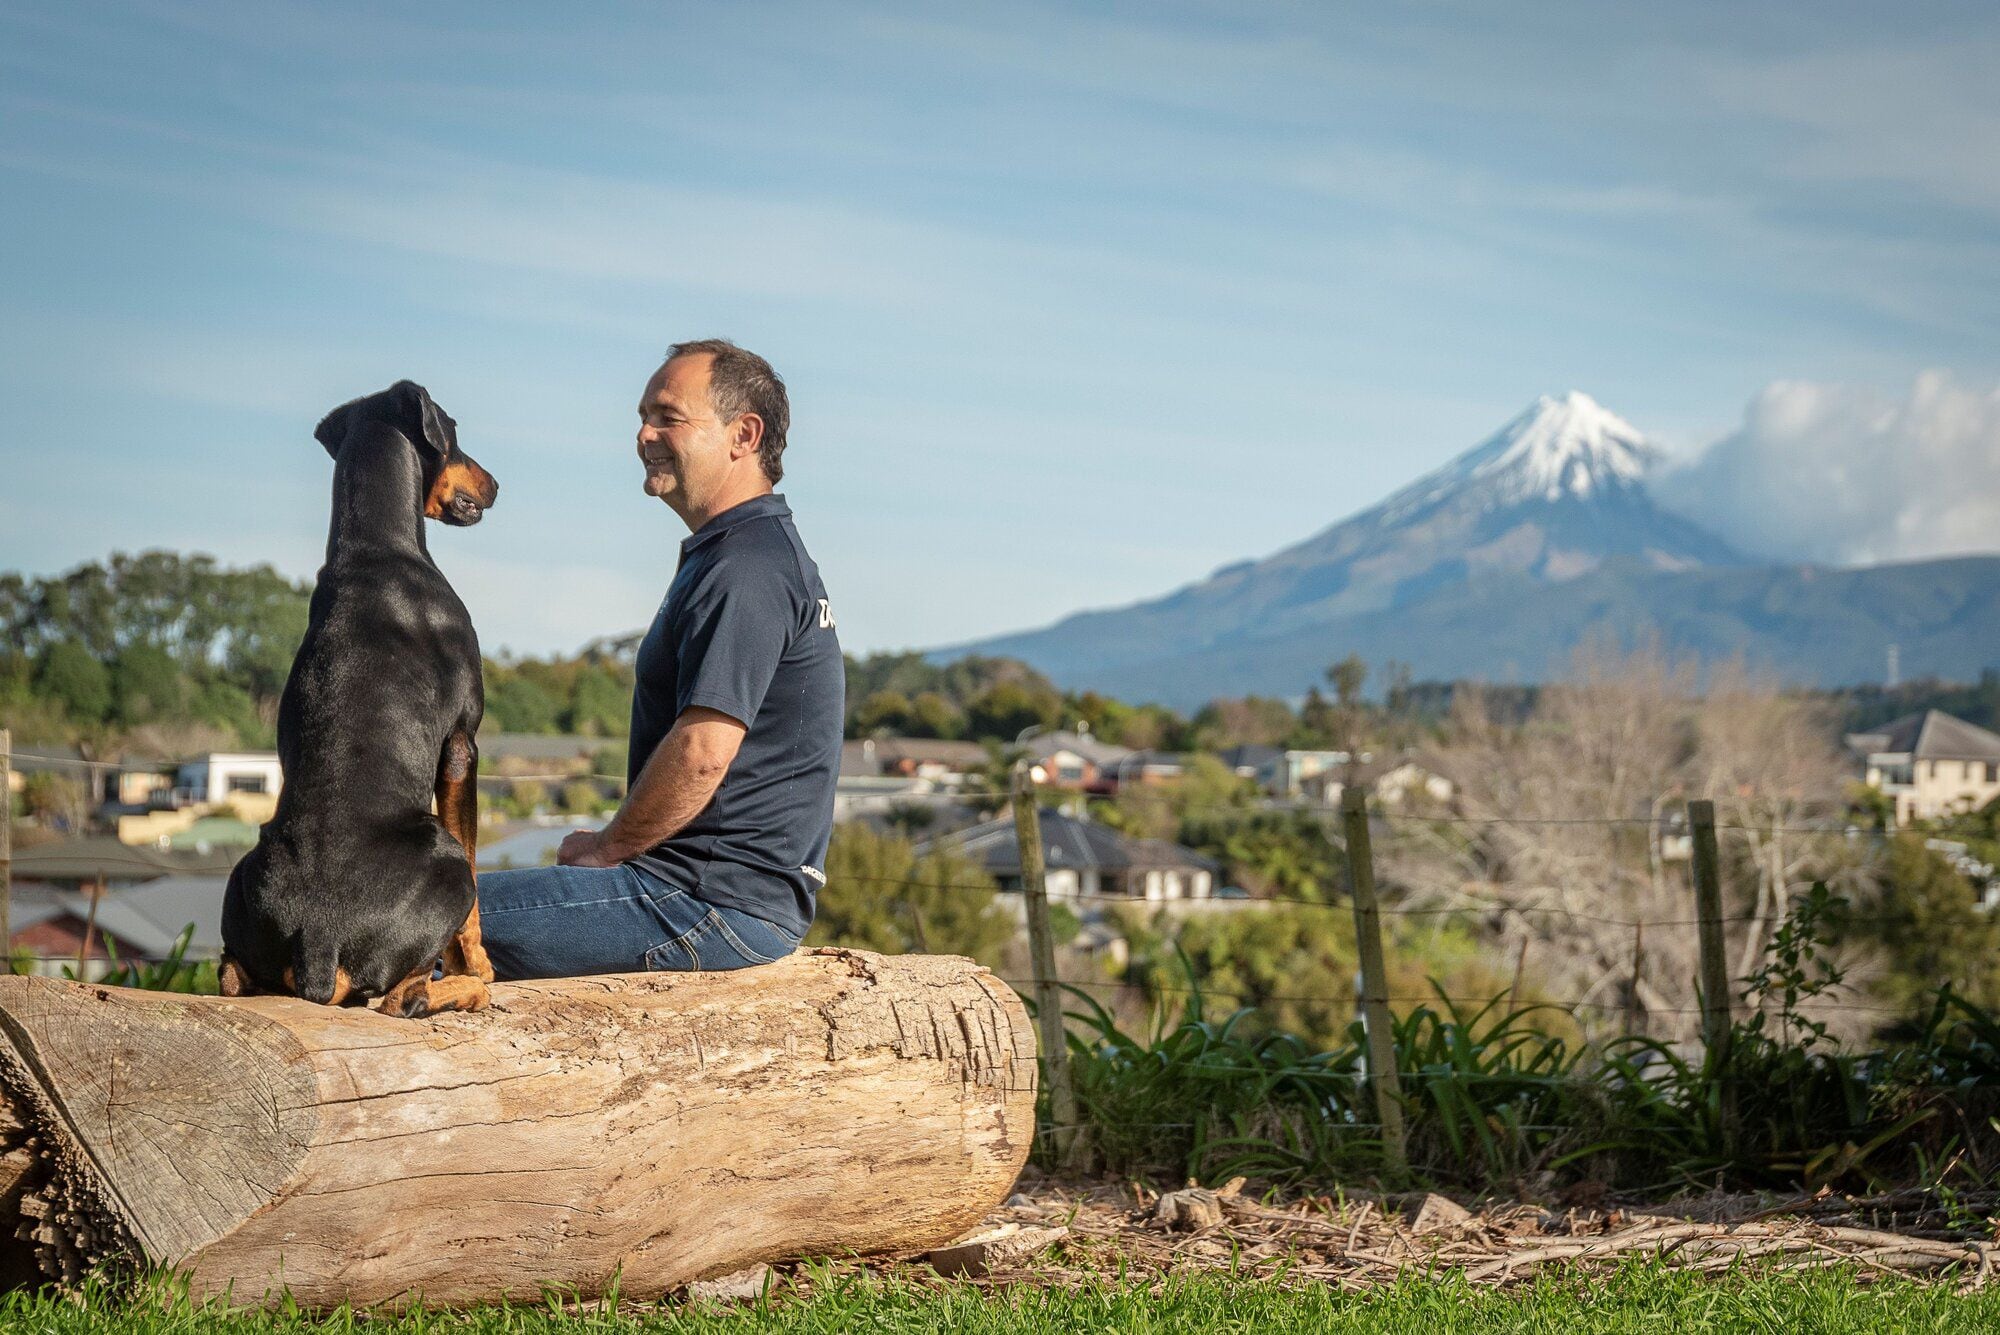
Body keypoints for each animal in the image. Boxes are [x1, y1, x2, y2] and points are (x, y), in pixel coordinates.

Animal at [216, 379, 500, 1015]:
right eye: (455, 431)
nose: (495, 484)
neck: (377, 547)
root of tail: (317, 939)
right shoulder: (462, 744)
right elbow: (475, 884)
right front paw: (480, 965)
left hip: (245, 877)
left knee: (229, 975)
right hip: (442, 855)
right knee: (403, 998)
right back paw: (467, 988)